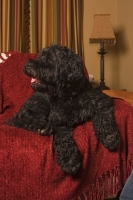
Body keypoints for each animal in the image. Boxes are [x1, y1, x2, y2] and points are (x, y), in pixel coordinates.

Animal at [7, 45, 119, 175]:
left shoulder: (103, 103)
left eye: (50, 59)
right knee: (26, 121)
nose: (28, 64)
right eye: (40, 56)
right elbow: (63, 140)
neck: (70, 96)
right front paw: (69, 161)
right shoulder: (59, 123)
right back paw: (44, 128)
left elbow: (104, 120)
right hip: (39, 105)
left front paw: (110, 137)